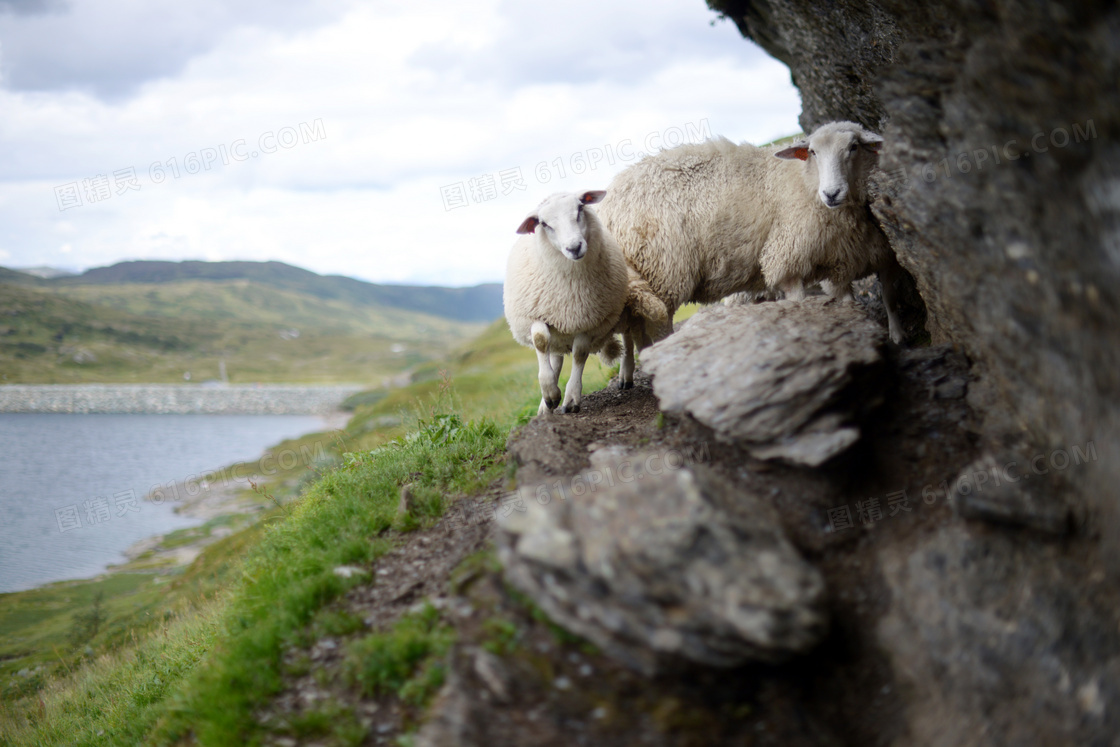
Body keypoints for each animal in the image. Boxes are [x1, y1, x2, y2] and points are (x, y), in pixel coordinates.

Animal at [501, 191, 627, 414]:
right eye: (543, 223)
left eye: (580, 208)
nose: (574, 247)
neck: (571, 288)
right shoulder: (536, 313)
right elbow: (541, 341)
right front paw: (550, 393)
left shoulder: (589, 321)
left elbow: (579, 354)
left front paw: (571, 397)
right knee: (554, 355)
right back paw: (545, 407)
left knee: (629, 336)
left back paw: (626, 375)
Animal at [600, 119, 904, 389]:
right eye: (813, 152)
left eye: (854, 147)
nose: (832, 193)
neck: (806, 181)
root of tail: (610, 203)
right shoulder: (788, 258)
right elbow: (800, 306)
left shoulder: (858, 258)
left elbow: (883, 299)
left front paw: (893, 337)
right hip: (663, 272)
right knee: (654, 330)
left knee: (633, 328)